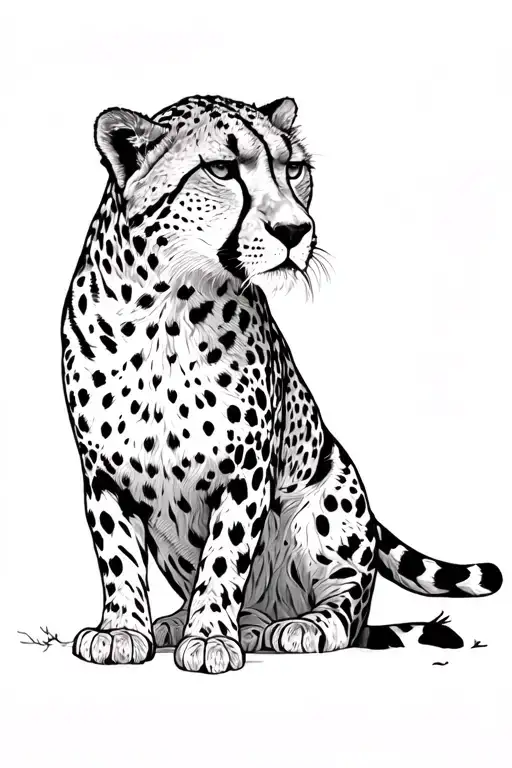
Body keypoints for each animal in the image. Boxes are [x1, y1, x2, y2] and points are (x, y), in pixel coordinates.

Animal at [61, 93, 502, 673]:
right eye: (221, 169)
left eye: (293, 169)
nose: (295, 230)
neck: (168, 308)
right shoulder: (103, 472)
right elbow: (118, 557)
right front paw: (122, 630)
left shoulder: (245, 469)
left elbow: (224, 557)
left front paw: (209, 637)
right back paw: (196, 624)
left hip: (331, 498)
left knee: (349, 607)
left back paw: (297, 626)